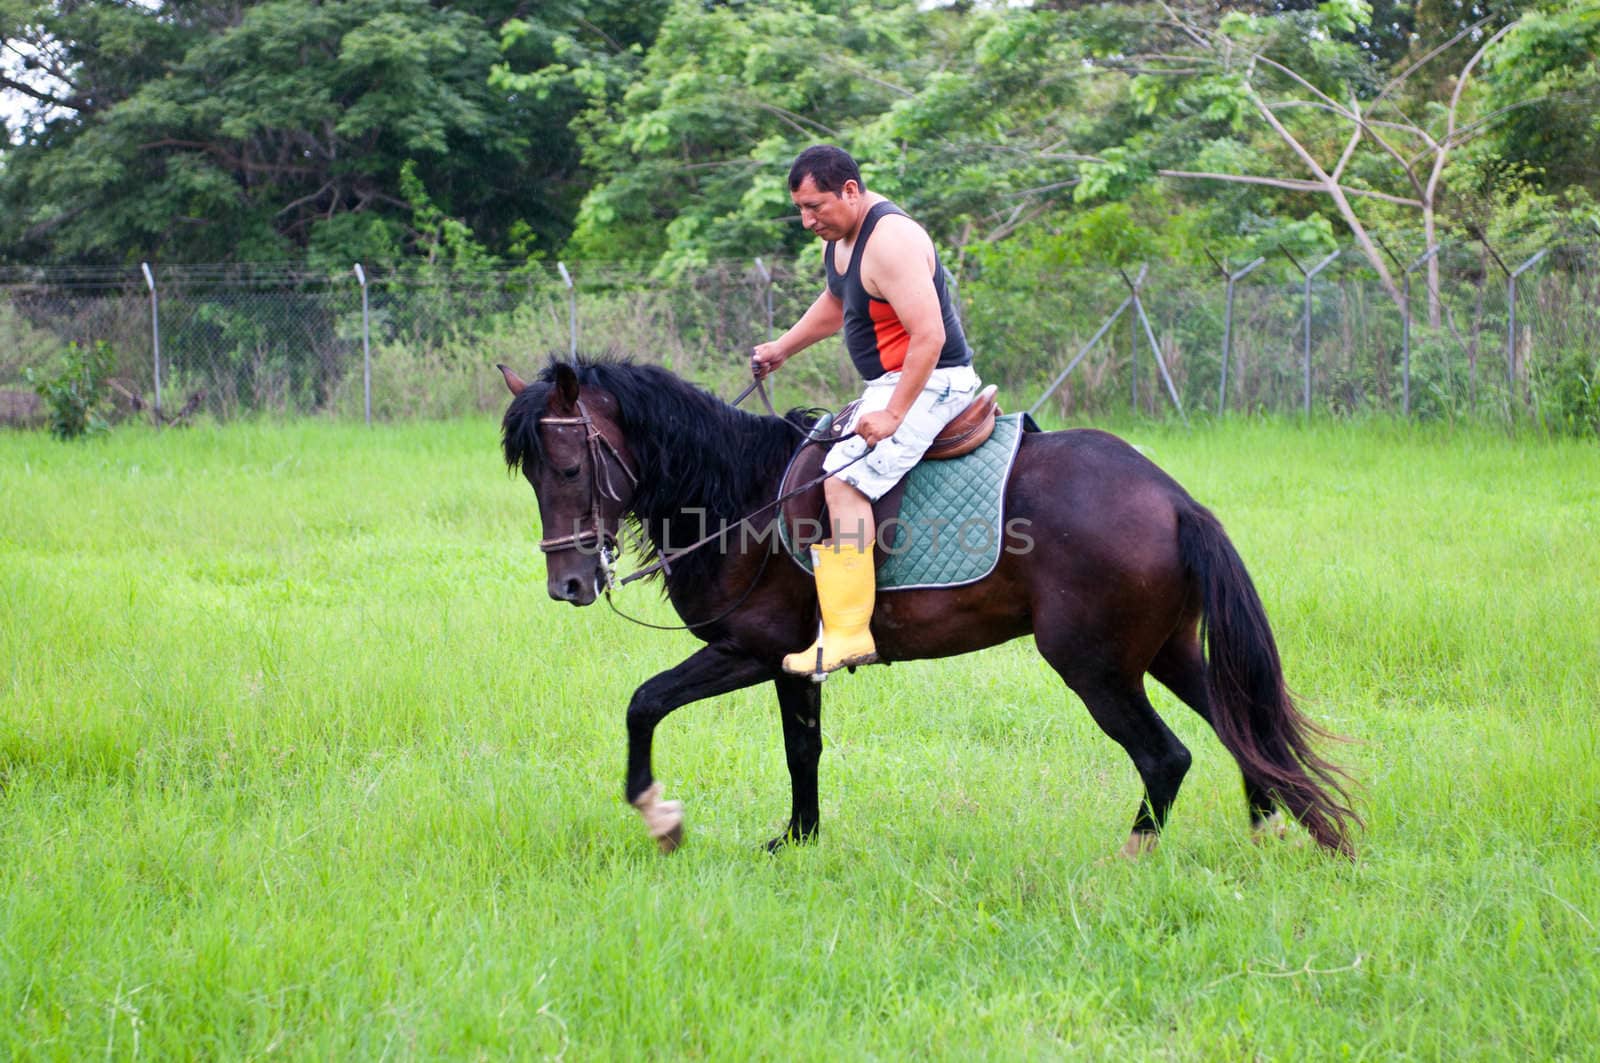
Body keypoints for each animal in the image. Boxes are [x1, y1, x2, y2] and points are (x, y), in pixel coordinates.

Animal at [496, 361, 1350, 858]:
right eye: (531, 474)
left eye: (568, 466)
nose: (567, 584)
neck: (740, 496)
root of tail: (1173, 499)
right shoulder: (792, 665)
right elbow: (802, 751)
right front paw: (800, 840)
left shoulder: (751, 649)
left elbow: (644, 703)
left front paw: (660, 815)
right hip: (1167, 650)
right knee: (1243, 730)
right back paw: (1271, 830)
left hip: (1097, 667)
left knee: (1166, 756)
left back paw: (1134, 857)